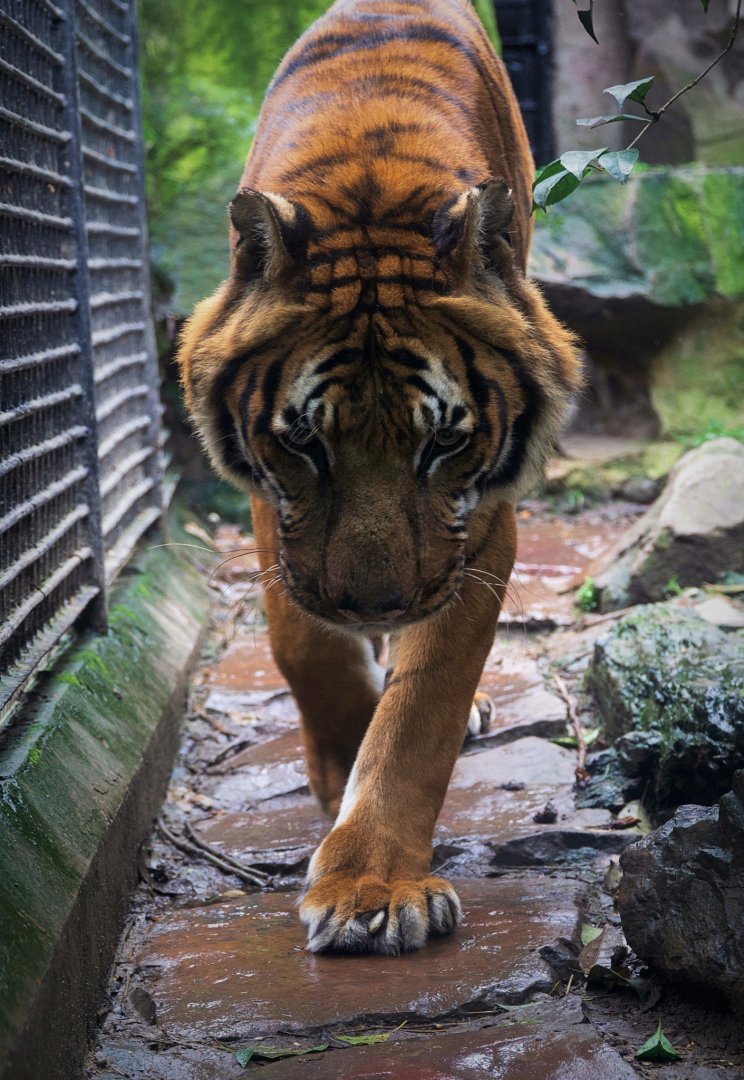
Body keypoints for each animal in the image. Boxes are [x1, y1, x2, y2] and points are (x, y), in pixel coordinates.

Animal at [177, 0, 581, 956]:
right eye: (304, 443)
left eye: (442, 445)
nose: (376, 605)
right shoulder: (273, 503)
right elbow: (303, 642)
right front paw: (340, 762)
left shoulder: (480, 529)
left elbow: (420, 709)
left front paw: (372, 886)